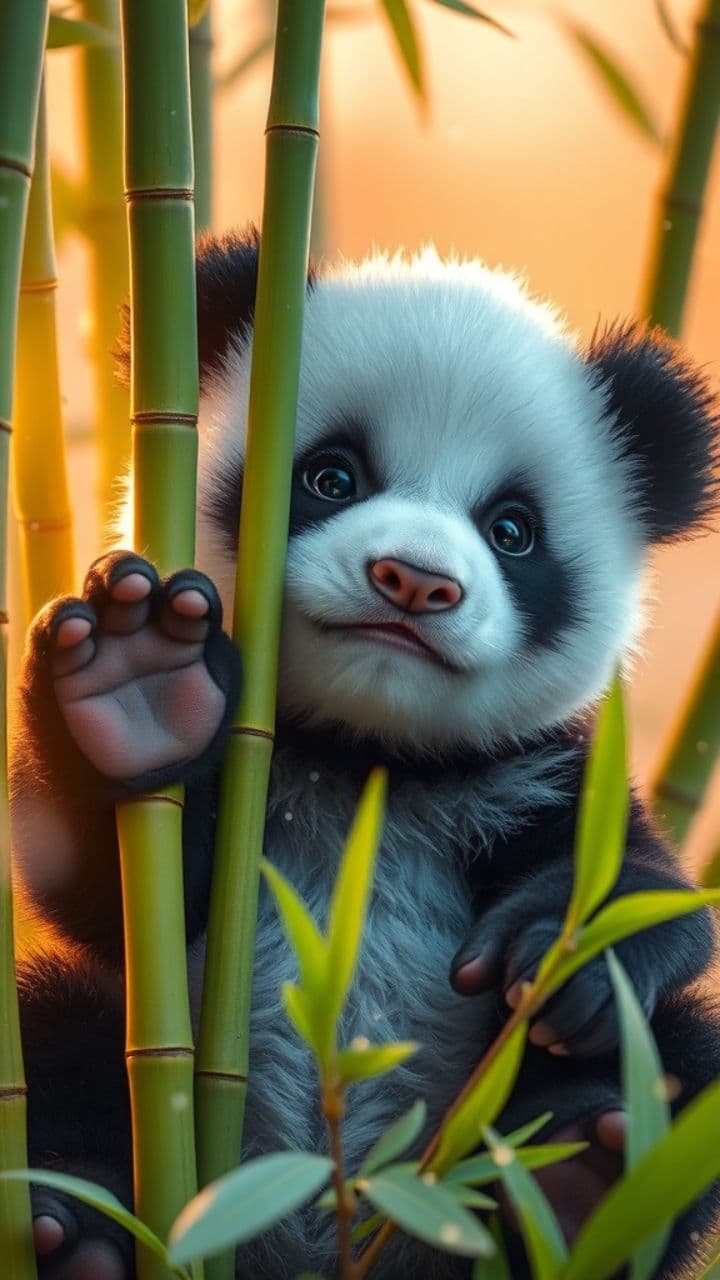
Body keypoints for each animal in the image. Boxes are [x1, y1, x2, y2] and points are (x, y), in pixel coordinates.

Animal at [10, 228, 720, 1280]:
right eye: (332, 476)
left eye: (513, 531)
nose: (414, 581)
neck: (363, 761)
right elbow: (106, 895)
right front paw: (137, 683)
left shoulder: (539, 771)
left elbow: (648, 889)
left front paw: (559, 947)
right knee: (55, 1035)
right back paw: (82, 1233)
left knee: (678, 1075)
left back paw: (576, 1172)